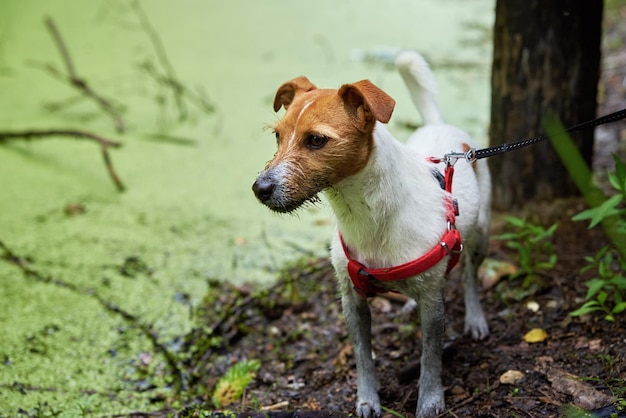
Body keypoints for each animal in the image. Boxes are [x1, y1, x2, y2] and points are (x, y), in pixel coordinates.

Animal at [251, 50, 490, 416]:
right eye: (277, 136)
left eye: (316, 140)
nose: (259, 188)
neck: (367, 216)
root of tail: (439, 125)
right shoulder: (352, 300)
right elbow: (363, 357)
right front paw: (367, 399)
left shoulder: (433, 304)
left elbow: (430, 356)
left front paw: (430, 398)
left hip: (481, 235)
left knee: (470, 278)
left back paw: (475, 317)